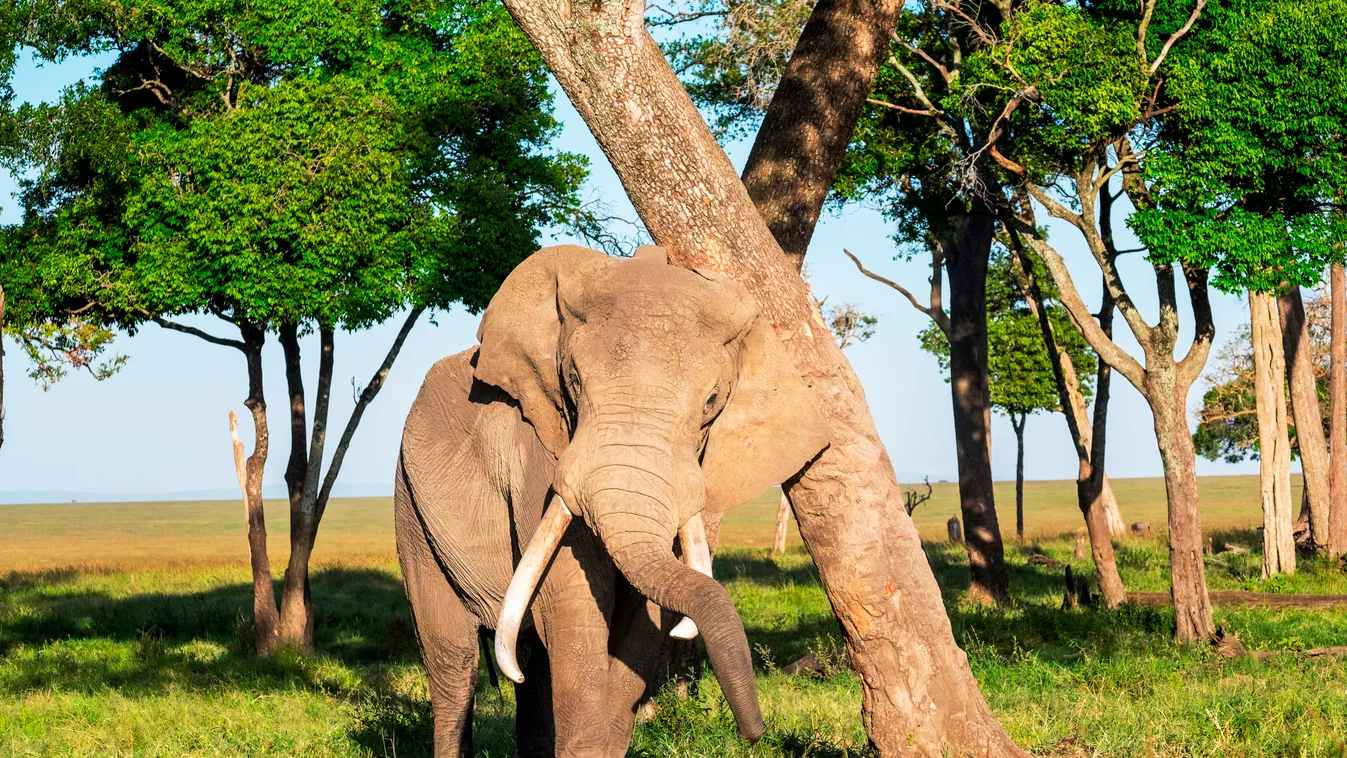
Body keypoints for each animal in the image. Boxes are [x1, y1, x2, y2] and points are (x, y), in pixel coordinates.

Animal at [393, 246, 824, 753]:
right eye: (575, 381)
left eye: (712, 402)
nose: (754, 733)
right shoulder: (538, 452)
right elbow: (572, 602)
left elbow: (643, 618)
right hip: (411, 507)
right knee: (452, 660)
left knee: (530, 667)